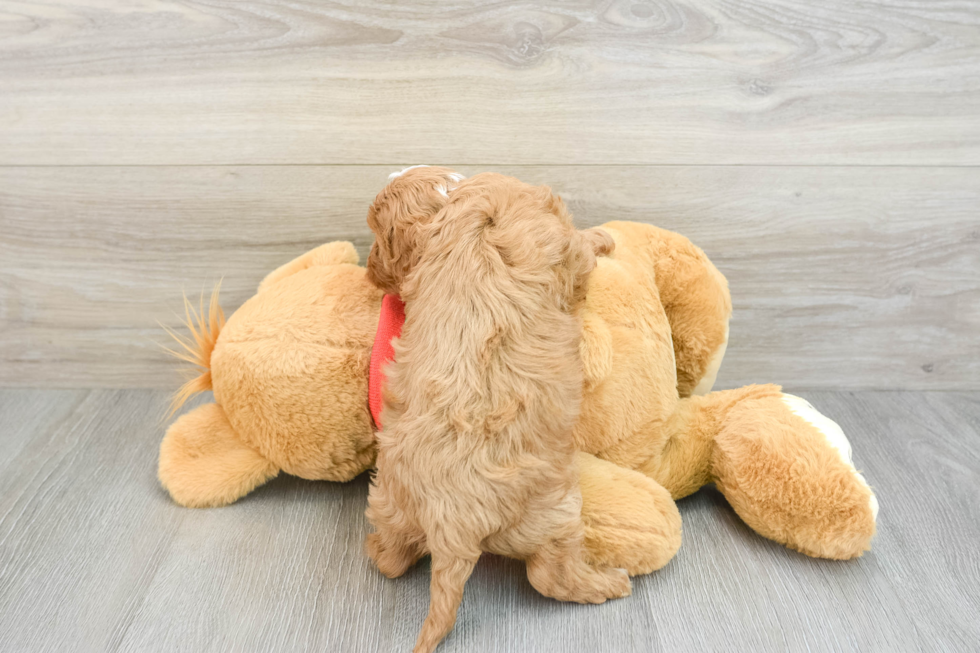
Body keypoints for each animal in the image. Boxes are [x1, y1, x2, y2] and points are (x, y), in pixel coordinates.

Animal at [362, 168, 628, 652]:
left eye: (378, 237)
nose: (370, 273)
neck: (452, 197)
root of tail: (451, 523)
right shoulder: (566, 244)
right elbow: (584, 246)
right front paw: (605, 236)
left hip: (390, 500)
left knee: (393, 559)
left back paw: (376, 549)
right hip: (556, 514)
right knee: (550, 577)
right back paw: (610, 584)